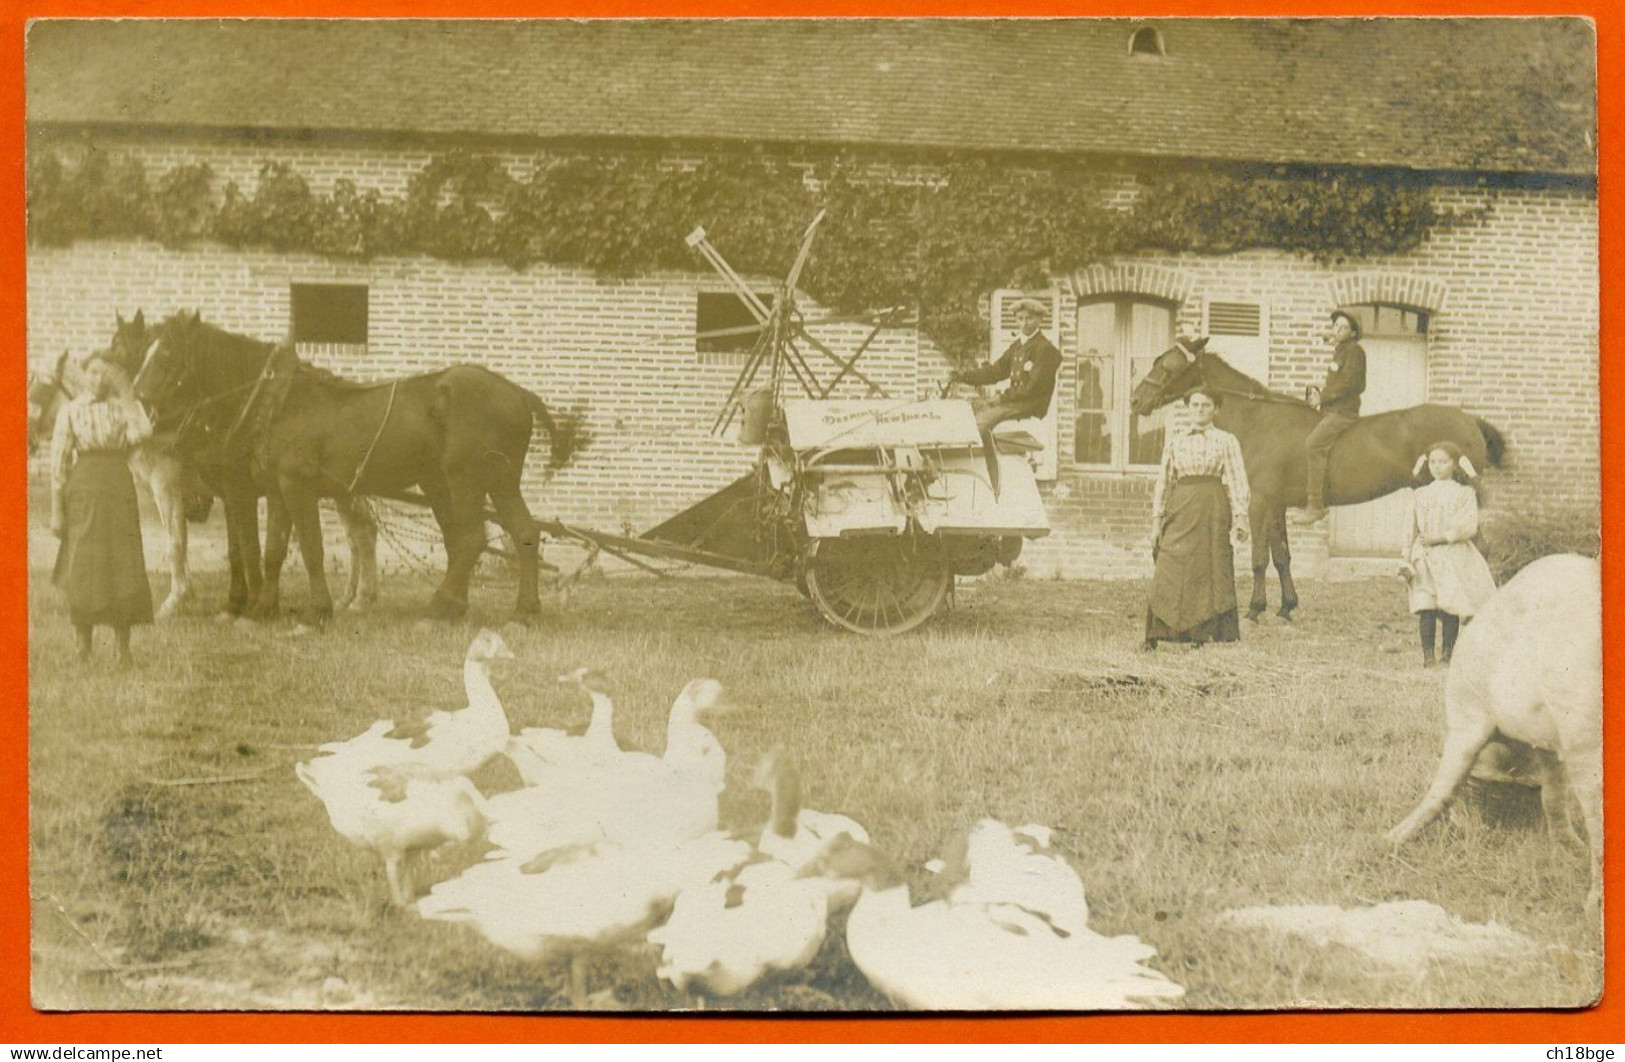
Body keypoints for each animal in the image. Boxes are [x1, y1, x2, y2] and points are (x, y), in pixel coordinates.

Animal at [133, 311, 578, 626]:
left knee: (470, 540)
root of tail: (517, 392)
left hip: (464, 480)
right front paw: (262, 611)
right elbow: (274, 550)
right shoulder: (276, 490)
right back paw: (519, 612)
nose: (137, 393)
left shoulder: (295, 487)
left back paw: (440, 608)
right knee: (520, 533)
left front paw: (317, 612)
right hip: (492, 482)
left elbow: (310, 548)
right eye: (147, 350)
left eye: (167, 353)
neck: (278, 401)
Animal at [1137, 341, 1501, 623]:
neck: (1259, 420)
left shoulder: (1260, 502)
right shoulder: (1276, 505)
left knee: (1480, 549)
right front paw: (1286, 606)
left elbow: (1259, 558)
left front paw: (1255, 609)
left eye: (1168, 365)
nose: (1136, 399)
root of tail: (1469, 420)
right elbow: (1281, 556)